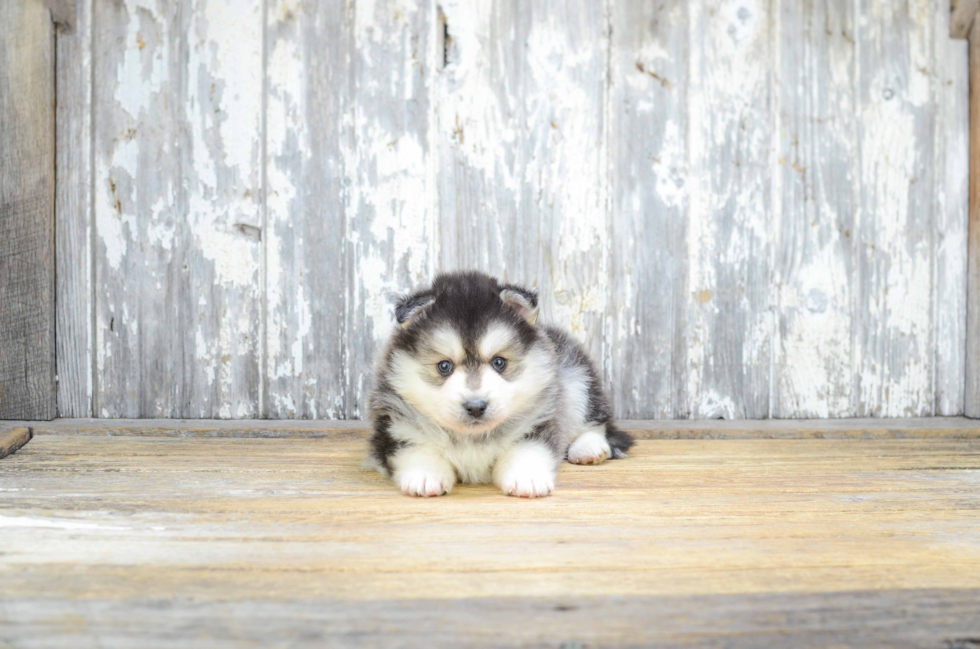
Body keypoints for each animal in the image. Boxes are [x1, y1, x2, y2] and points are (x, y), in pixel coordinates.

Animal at [368, 268, 636, 496]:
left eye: (499, 362)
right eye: (444, 366)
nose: (476, 406)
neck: (472, 438)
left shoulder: (539, 421)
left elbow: (528, 449)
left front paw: (527, 477)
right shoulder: (395, 428)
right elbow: (417, 448)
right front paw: (425, 475)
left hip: (577, 378)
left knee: (596, 423)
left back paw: (588, 448)